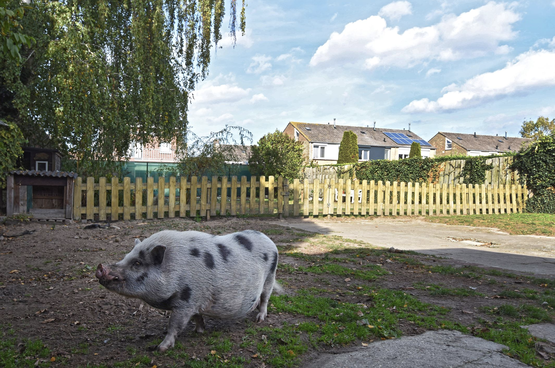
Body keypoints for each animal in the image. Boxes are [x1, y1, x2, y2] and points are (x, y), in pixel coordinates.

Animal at [95, 229, 280, 352]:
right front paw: (198, 331)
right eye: (126, 256)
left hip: (270, 276)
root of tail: (268, 239)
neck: (174, 268)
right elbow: (197, 316)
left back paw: (259, 319)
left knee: (265, 298)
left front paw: (161, 348)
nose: (101, 267)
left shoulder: (186, 301)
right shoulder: (195, 301)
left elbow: (174, 325)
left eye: (137, 263)